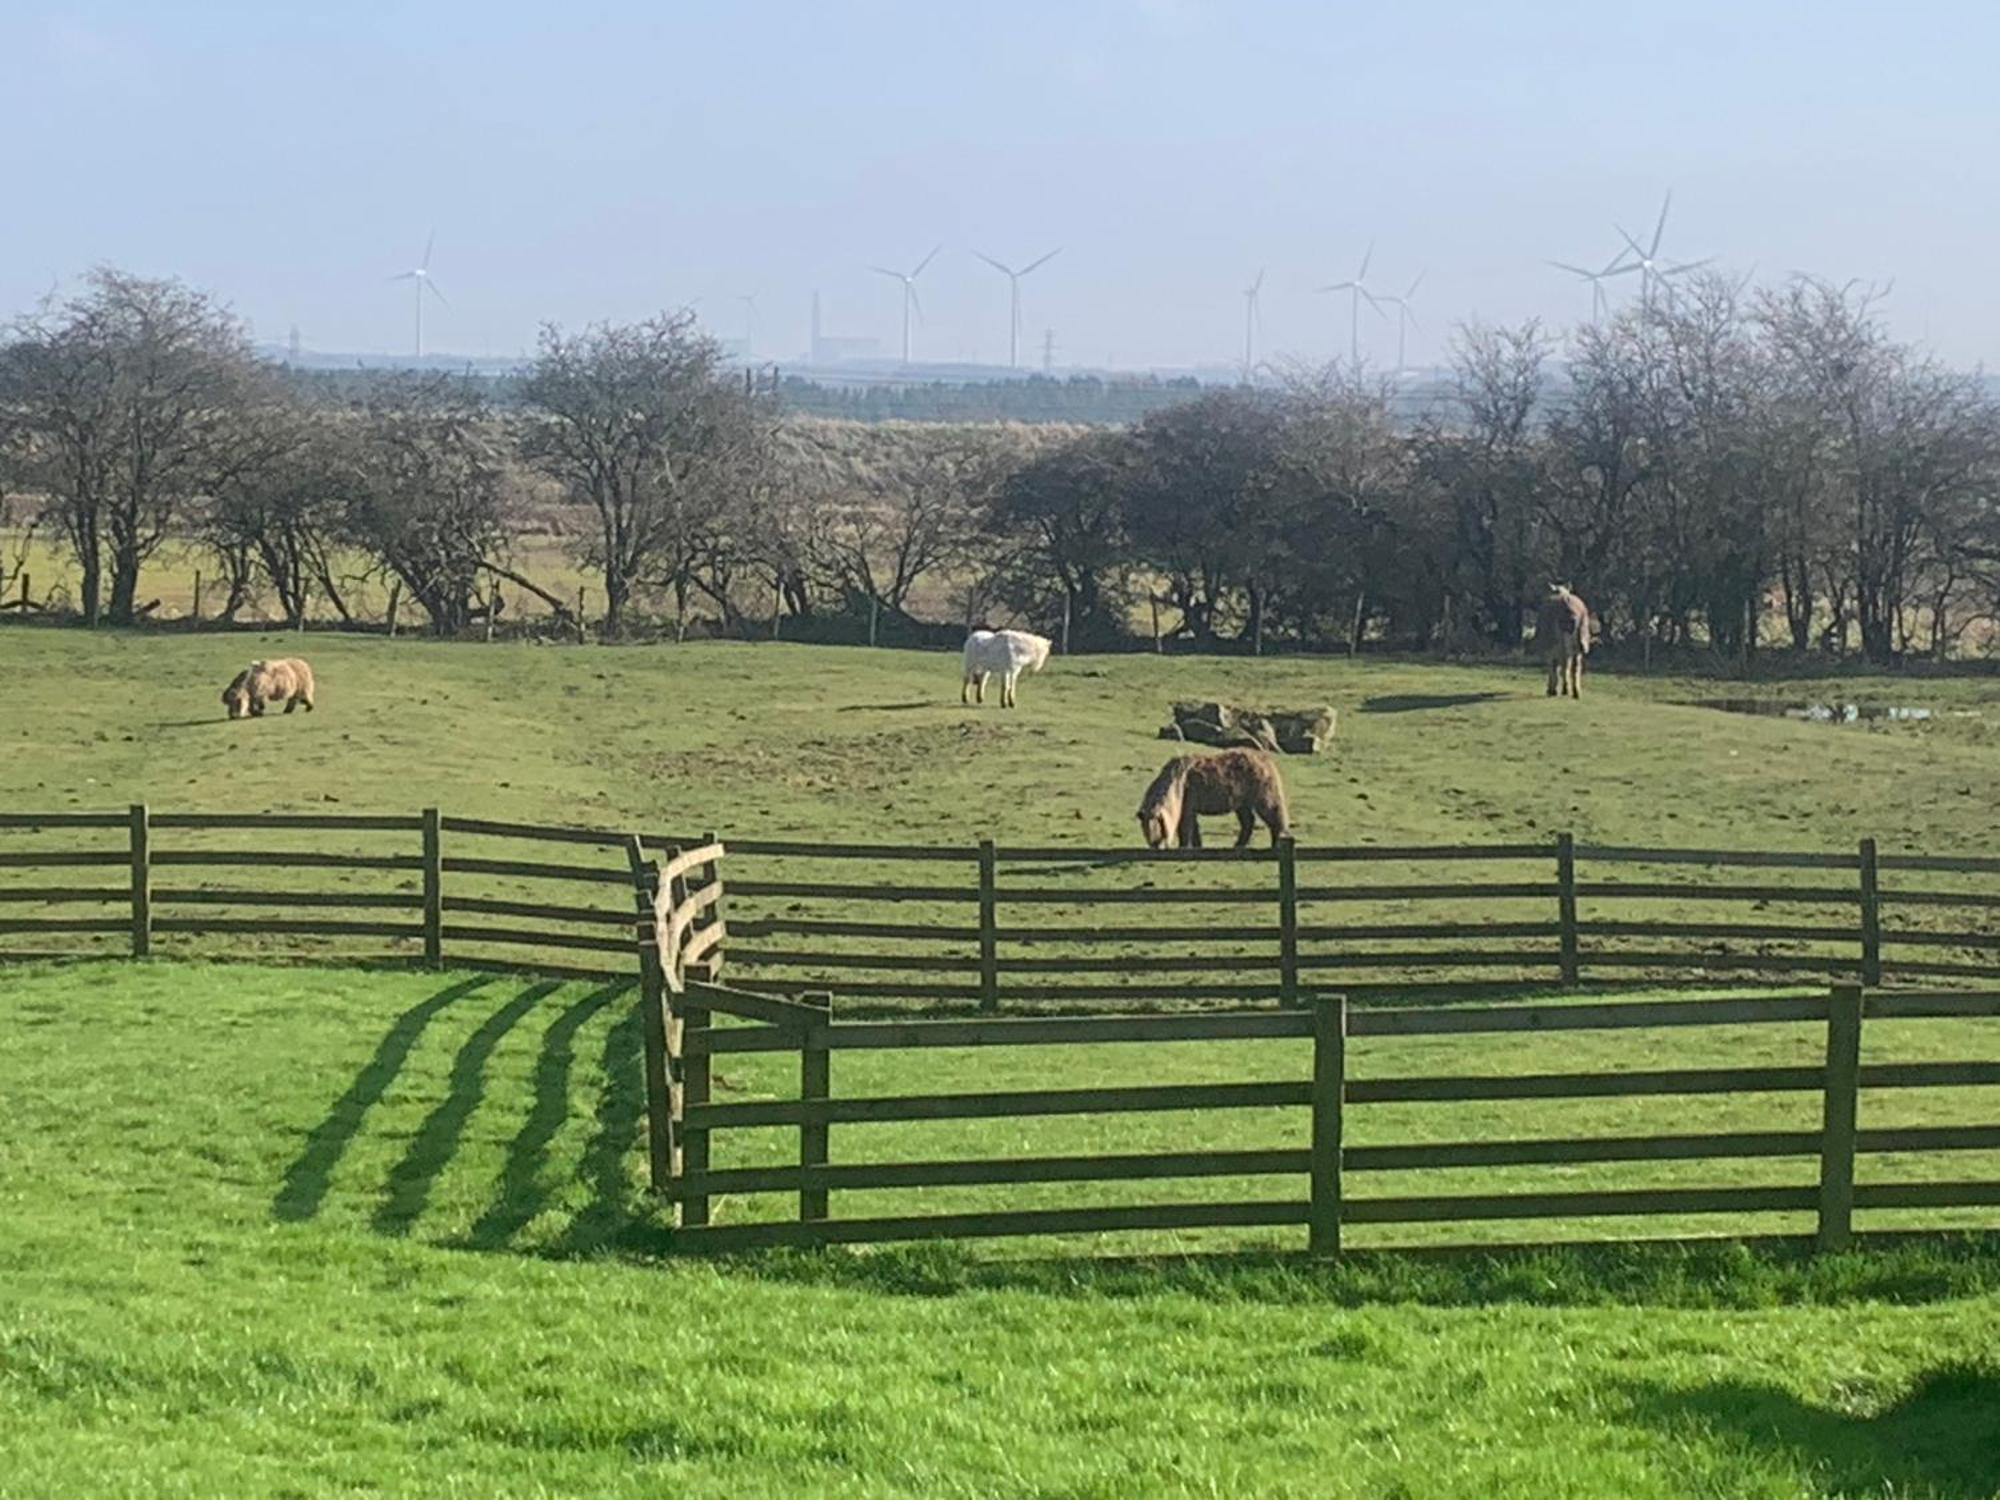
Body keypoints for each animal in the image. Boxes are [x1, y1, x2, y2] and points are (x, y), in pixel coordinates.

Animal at [1136, 748, 1288, 852]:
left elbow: (1185, 827)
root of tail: (1266, 759)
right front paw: (1197, 846)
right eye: (1146, 833)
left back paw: (1276, 844)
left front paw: (1184, 847)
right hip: (1241, 801)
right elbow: (1193, 828)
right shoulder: (1189, 805)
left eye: (1159, 830)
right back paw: (1238, 845)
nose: (1157, 847)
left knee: (1273, 813)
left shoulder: (1187, 802)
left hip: (1261, 792)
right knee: (1248, 821)